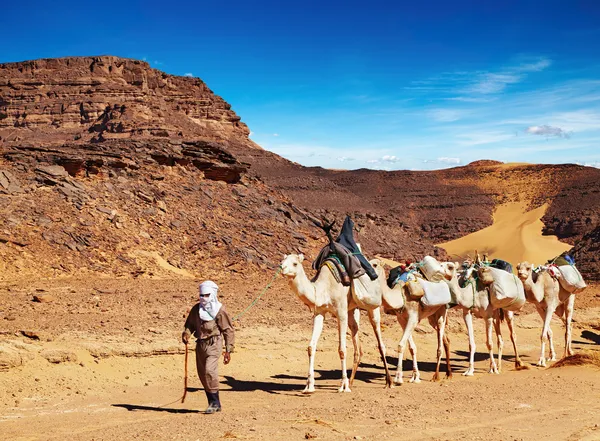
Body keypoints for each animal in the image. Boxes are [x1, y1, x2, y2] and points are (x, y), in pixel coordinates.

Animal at [278, 253, 392, 394]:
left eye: (295, 263)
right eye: (282, 261)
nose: (282, 268)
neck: (323, 288)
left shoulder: (341, 311)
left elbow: (342, 350)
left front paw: (343, 386)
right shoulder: (319, 312)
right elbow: (311, 347)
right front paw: (309, 386)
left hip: (372, 307)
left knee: (380, 341)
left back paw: (389, 382)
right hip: (352, 310)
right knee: (356, 338)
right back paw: (352, 382)